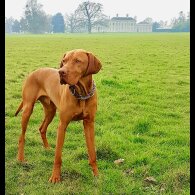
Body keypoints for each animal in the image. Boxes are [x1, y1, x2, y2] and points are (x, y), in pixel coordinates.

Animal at [15, 48, 102, 183]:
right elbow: (58, 156)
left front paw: (96, 174)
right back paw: (20, 158)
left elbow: (92, 153)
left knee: (42, 128)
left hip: (50, 111)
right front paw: (55, 177)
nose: (61, 72)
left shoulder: (89, 124)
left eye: (78, 61)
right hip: (28, 109)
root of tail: (33, 72)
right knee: (22, 136)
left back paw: (47, 148)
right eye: (64, 61)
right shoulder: (62, 125)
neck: (82, 94)